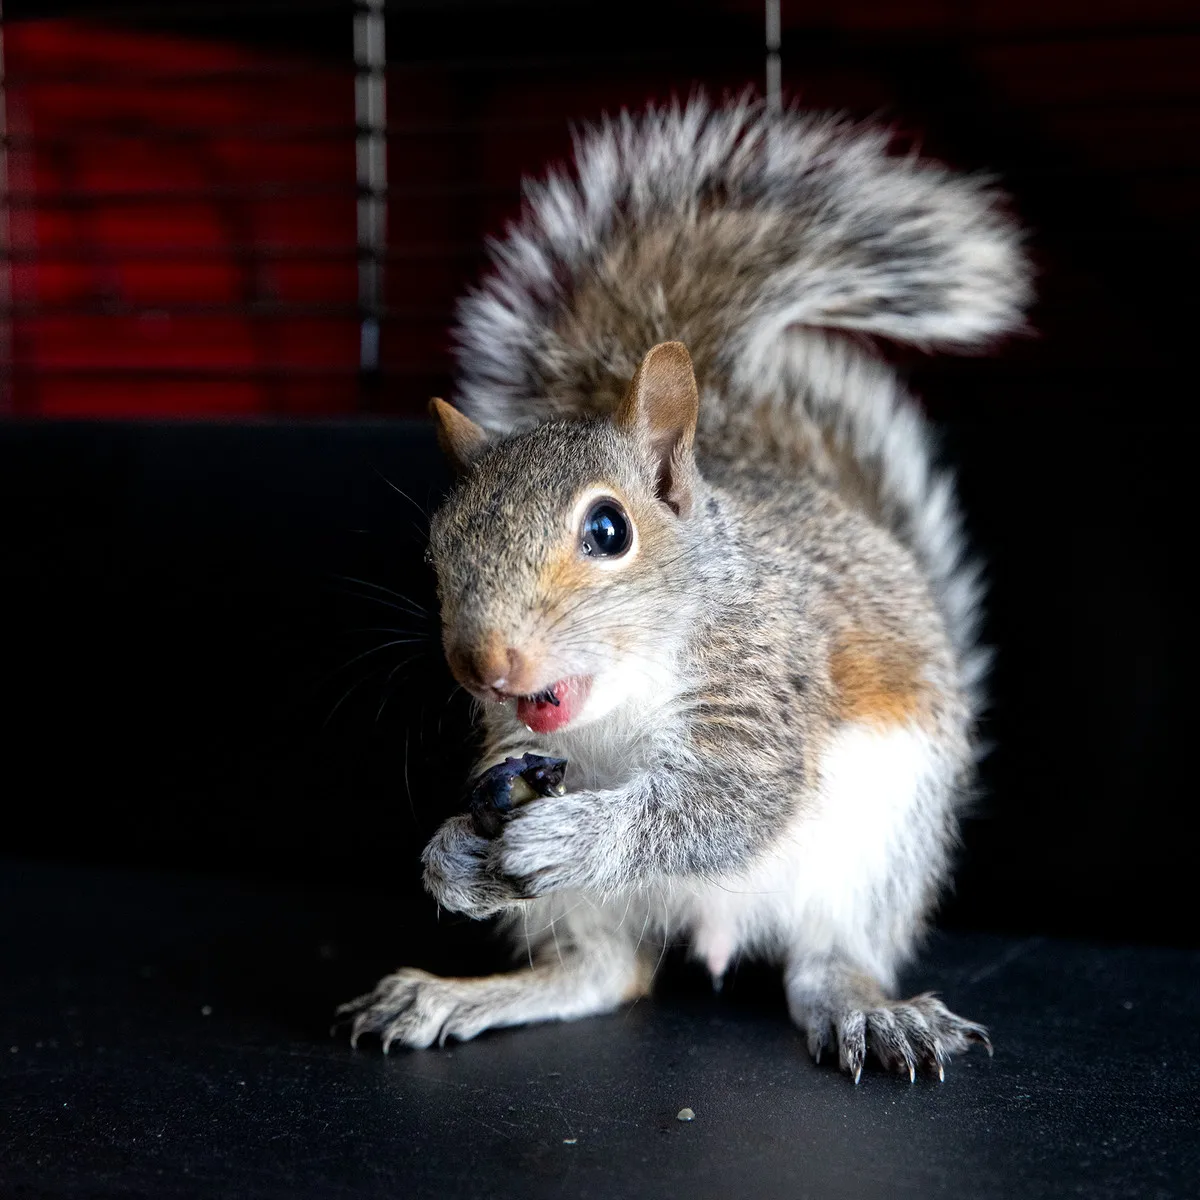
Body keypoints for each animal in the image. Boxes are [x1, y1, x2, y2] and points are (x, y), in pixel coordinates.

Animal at [338, 98, 1032, 1084]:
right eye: (435, 553)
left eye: (608, 531)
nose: (484, 664)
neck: (625, 687)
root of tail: (714, 926)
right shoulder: (518, 741)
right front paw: (447, 856)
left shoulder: (763, 681)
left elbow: (724, 805)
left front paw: (572, 837)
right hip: (587, 908)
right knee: (604, 974)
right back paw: (453, 995)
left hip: (870, 856)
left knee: (823, 961)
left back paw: (865, 1010)